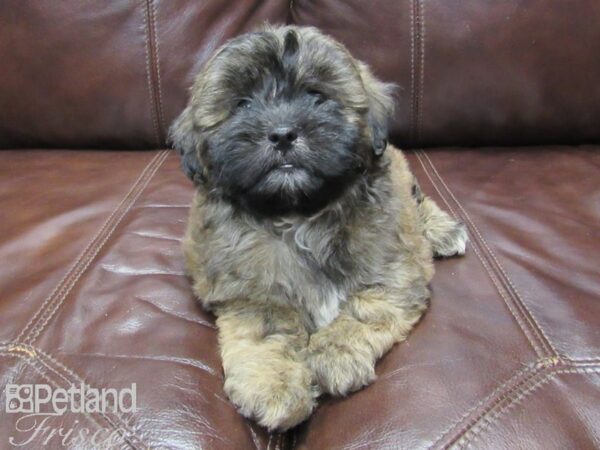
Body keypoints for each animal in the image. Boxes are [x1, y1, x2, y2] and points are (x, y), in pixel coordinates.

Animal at [170, 25, 468, 432]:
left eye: (316, 96)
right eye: (243, 104)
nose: (282, 133)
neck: (299, 215)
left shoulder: (395, 270)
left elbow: (365, 308)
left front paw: (335, 354)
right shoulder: (248, 291)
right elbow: (267, 331)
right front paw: (275, 385)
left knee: (418, 201)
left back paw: (443, 230)